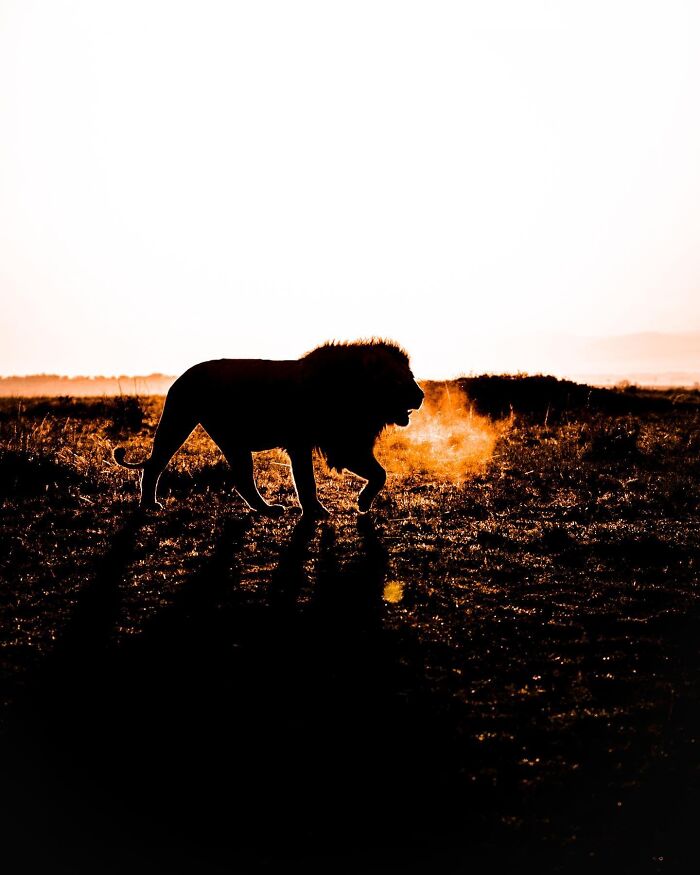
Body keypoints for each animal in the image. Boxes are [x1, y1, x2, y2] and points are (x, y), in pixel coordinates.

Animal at [113, 340, 424, 518]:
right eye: (400, 381)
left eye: (412, 376)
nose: (420, 396)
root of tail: (183, 375)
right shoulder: (320, 443)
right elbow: (308, 481)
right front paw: (326, 510)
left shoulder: (338, 443)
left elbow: (378, 473)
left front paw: (352, 504)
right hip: (181, 421)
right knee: (155, 465)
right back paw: (149, 504)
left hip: (226, 438)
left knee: (240, 480)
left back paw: (265, 509)